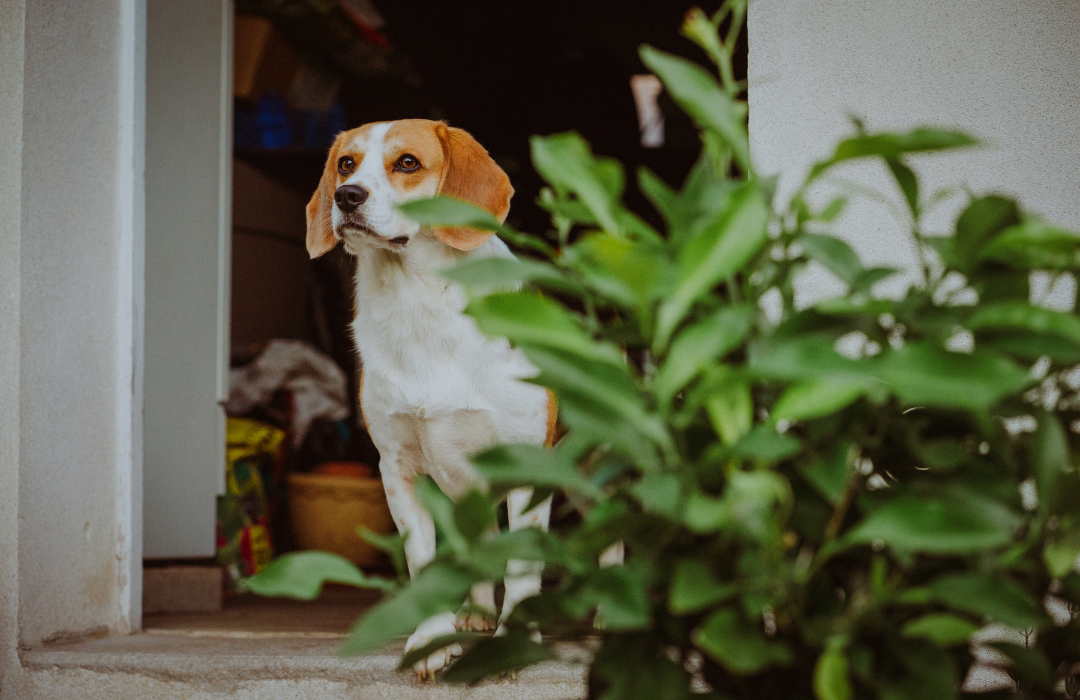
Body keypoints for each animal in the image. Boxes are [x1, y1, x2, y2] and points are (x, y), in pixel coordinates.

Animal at [306, 120, 552, 678]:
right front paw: (433, 640)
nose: (346, 196)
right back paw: (476, 614)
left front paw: (513, 645)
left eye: (408, 163)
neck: (418, 302)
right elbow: (423, 563)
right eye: (347, 164)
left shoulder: (528, 467)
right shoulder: (399, 470)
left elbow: (522, 569)